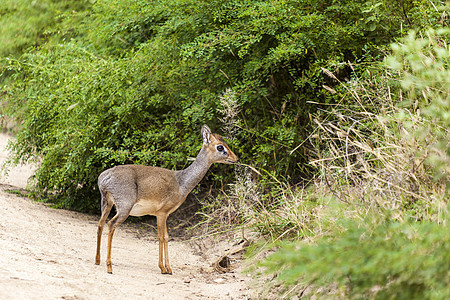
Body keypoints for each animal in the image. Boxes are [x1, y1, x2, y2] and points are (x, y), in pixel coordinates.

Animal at [95, 125, 239, 274]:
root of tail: (103, 178)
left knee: (100, 224)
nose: (236, 158)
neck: (181, 182)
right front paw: (163, 268)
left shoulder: (166, 214)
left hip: (107, 203)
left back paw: (97, 261)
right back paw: (109, 266)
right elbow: (160, 237)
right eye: (220, 147)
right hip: (124, 208)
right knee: (111, 224)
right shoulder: (161, 213)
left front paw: (169, 268)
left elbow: (166, 237)